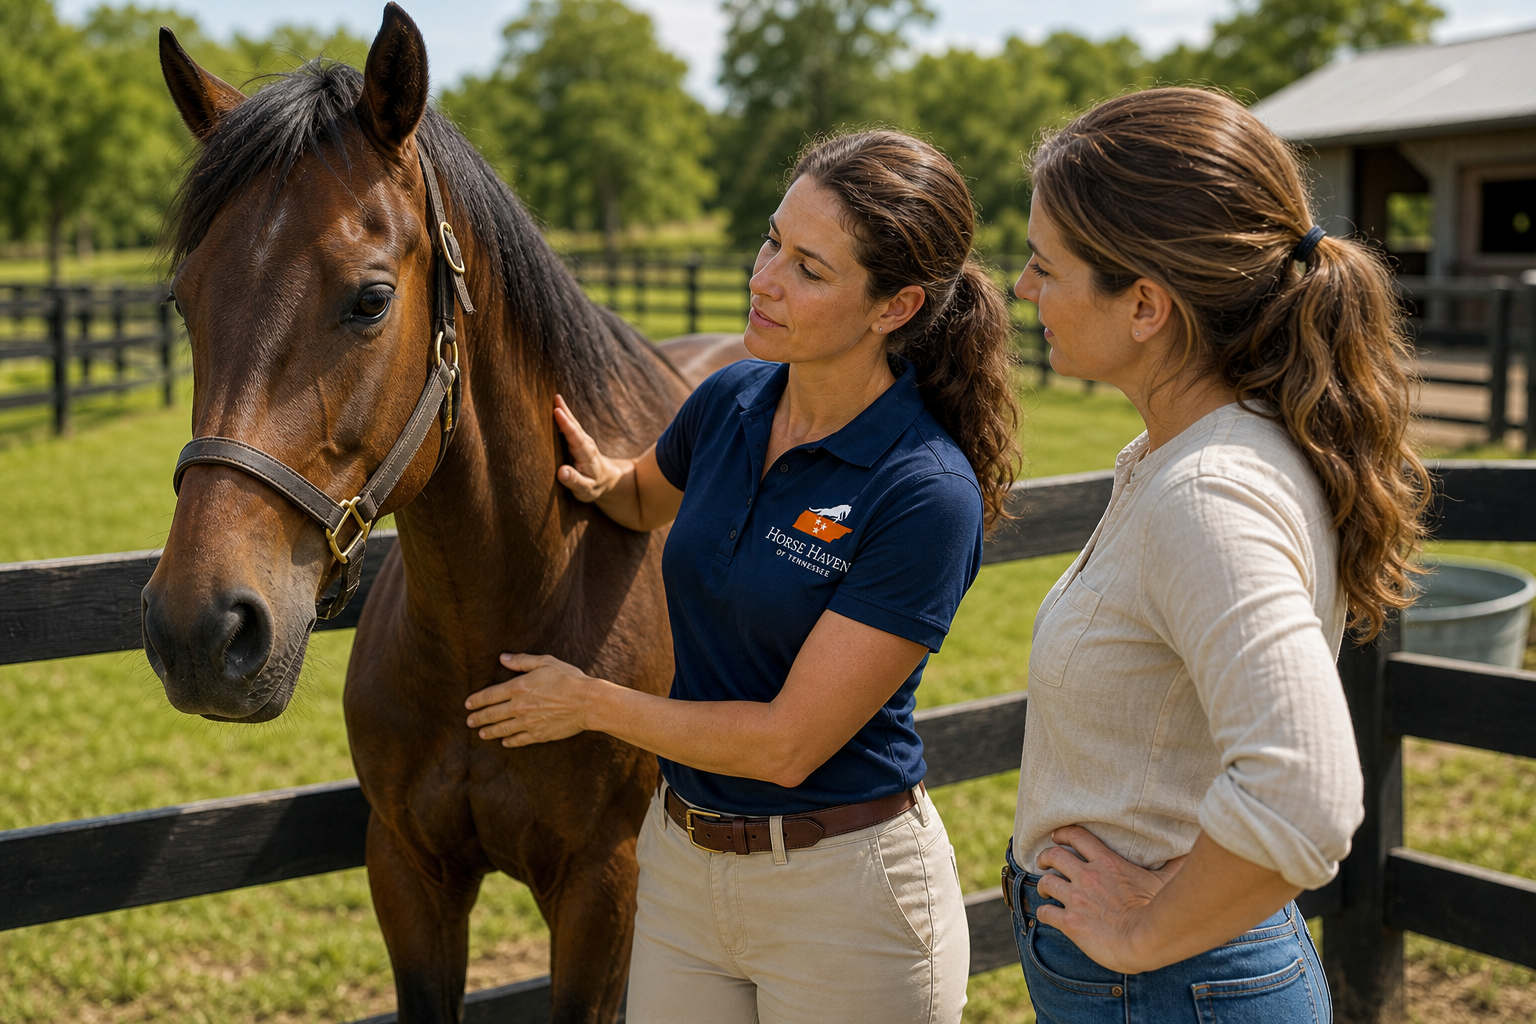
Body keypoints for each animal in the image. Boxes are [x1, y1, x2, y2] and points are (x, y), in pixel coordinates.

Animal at [140, 7, 743, 1021]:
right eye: (184, 302)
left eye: (372, 299)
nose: (200, 631)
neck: (492, 626)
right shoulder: (407, 872)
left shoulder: (604, 890)